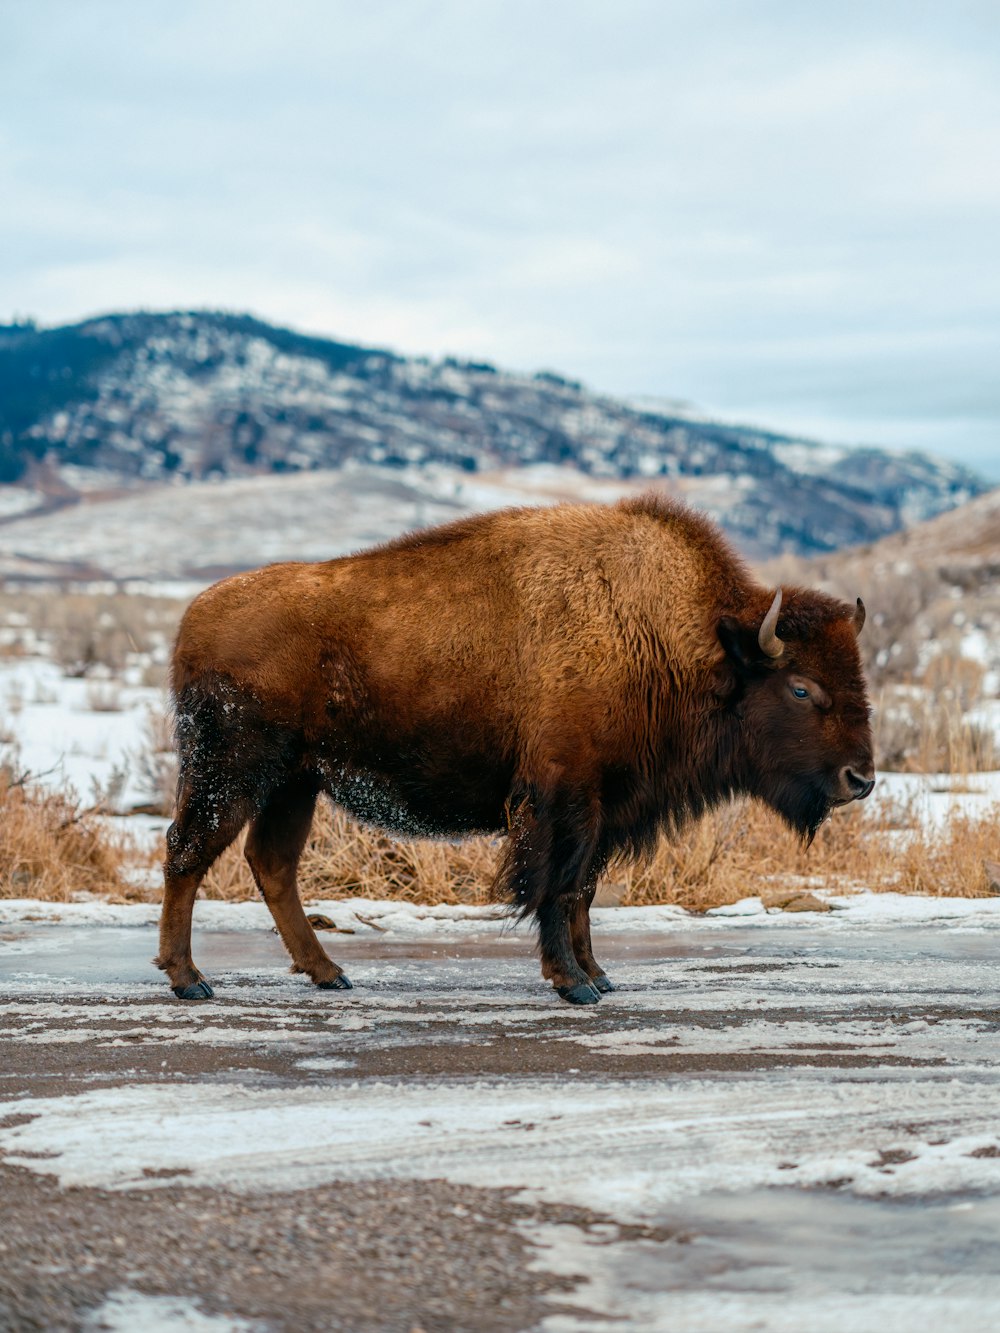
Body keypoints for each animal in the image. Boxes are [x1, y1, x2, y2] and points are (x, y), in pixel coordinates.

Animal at [156, 495, 874, 1002]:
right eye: (802, 687)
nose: (859, 779)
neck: (678, 639)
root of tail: (193, 617)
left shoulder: (605, 806)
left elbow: (583, 890)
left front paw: (599, 975)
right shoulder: (561, 797)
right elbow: (555, 885)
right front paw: (573, 983)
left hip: (294, 783)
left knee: (270, 863)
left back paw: (329, 972)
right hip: (232, 772)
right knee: (187, 853)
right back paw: (190, 979)